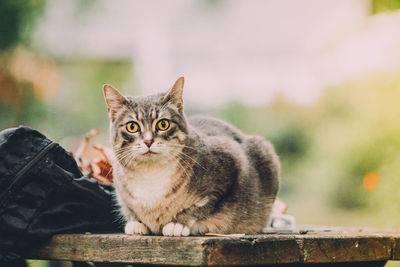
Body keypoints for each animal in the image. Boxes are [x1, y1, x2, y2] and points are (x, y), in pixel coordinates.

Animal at [101, 77, 280, 237]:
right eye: (132, 126)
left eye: (163, 124)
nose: (148, 141)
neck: (150, 174)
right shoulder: (121, 193)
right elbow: (129, 208)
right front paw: (136, 223)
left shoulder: (230, 164)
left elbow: (199, 207)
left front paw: (177, 224)